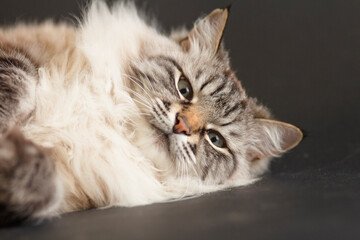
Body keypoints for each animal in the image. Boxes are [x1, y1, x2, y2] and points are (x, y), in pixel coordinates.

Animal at [0, 0, 304, 225]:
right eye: (184, 89)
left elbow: (42, 184)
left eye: (215, 140)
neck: (108, 122)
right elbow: (18, 86)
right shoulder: (19, 52)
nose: (181, 125)